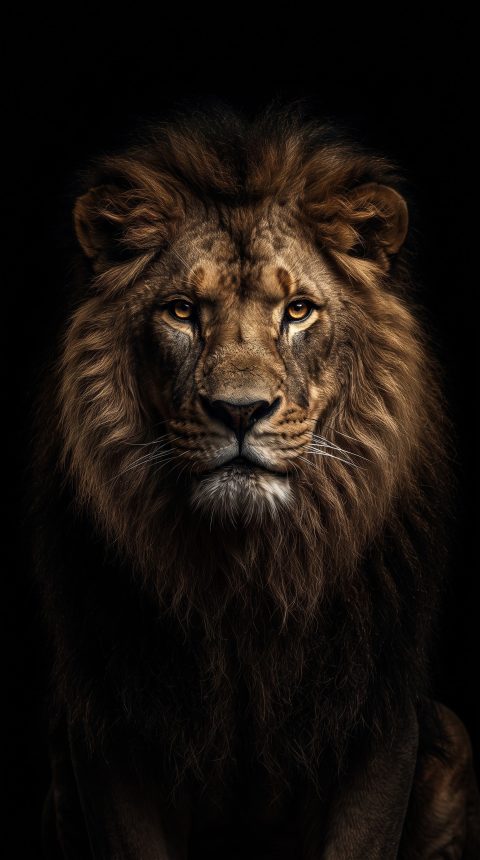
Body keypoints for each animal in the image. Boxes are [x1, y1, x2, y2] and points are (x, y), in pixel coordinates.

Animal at [29, 100, 480, 858]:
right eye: (182, 310)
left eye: (296, 310)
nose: (240, 411)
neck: (249, 576)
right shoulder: (110, 723)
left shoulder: (379, 716)